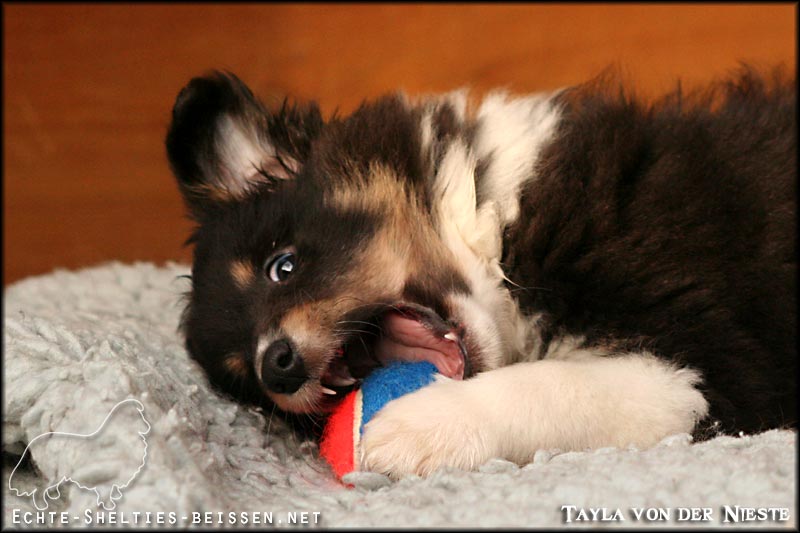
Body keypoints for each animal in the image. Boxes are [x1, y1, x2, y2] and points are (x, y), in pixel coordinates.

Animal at [166, 66, 796, 479]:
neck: (494, 219)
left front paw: (412, 428)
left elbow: (553, 386)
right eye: (246, 379)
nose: (276, 365)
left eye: (282, 266)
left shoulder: (711, 362)